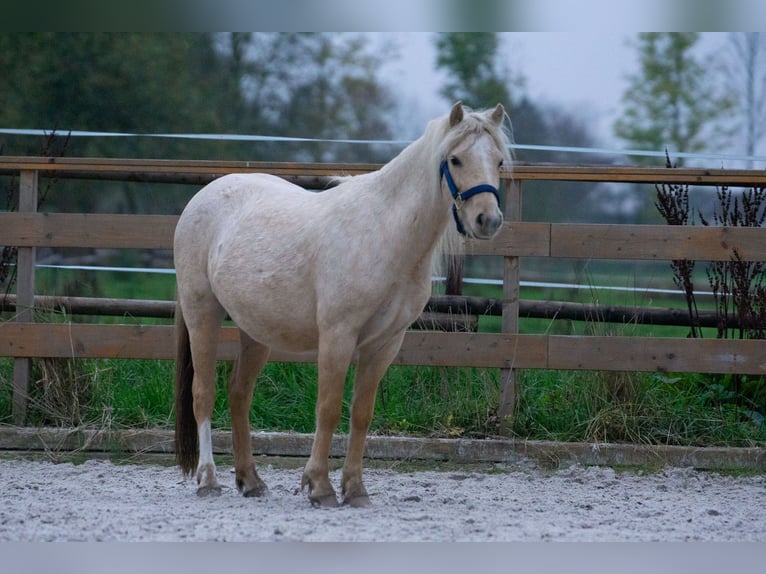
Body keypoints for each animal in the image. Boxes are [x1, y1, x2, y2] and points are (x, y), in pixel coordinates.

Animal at [172, 102, 510, 508]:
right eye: (455, 160)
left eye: (499, 161)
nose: (488, 220)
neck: (386, 233)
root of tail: (201, 197)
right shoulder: (338, 336)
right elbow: (328, 409)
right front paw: (320, 486)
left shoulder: (385, 344)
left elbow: (361, 414)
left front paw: (355, 489)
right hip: (202, 313)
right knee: (203, 394)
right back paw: (208, 479)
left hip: (255, 330)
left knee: (239, 393)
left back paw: (250, 481)